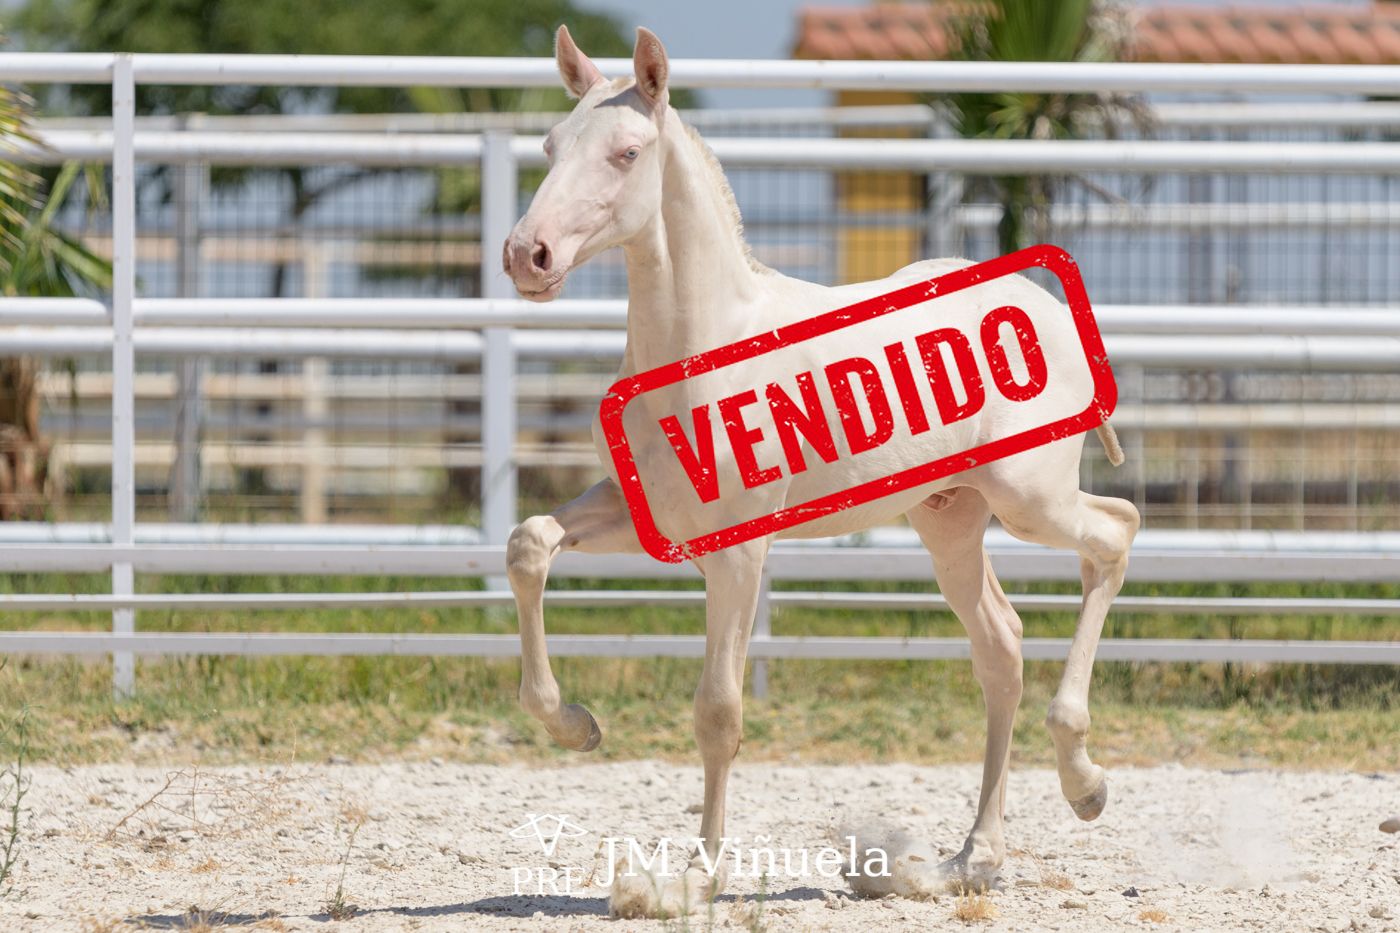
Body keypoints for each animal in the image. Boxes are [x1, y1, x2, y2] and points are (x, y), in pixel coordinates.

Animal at [500, 25, 1140, 917]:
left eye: (626, 153)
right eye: (553, 145)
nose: (527, 255)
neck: (704, 345)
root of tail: (1045, 306)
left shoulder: (738, 550)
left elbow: (719, 709)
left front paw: (695, 878)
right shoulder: (647, 517)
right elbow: (530, 542)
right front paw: (576, 725)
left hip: (1028, 498)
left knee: (1114, 534)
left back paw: (1085, 782)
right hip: (950, 519)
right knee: (1001, 648)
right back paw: (969, 858)